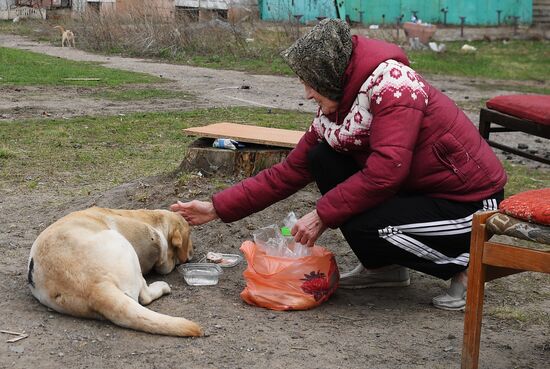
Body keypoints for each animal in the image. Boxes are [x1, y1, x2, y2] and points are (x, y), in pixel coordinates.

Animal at [27, 206, 203, 334]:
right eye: (190, 234)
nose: (193, 249)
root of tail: (95, 288)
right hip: (124, 244)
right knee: (145, 295)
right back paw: (161, 286)